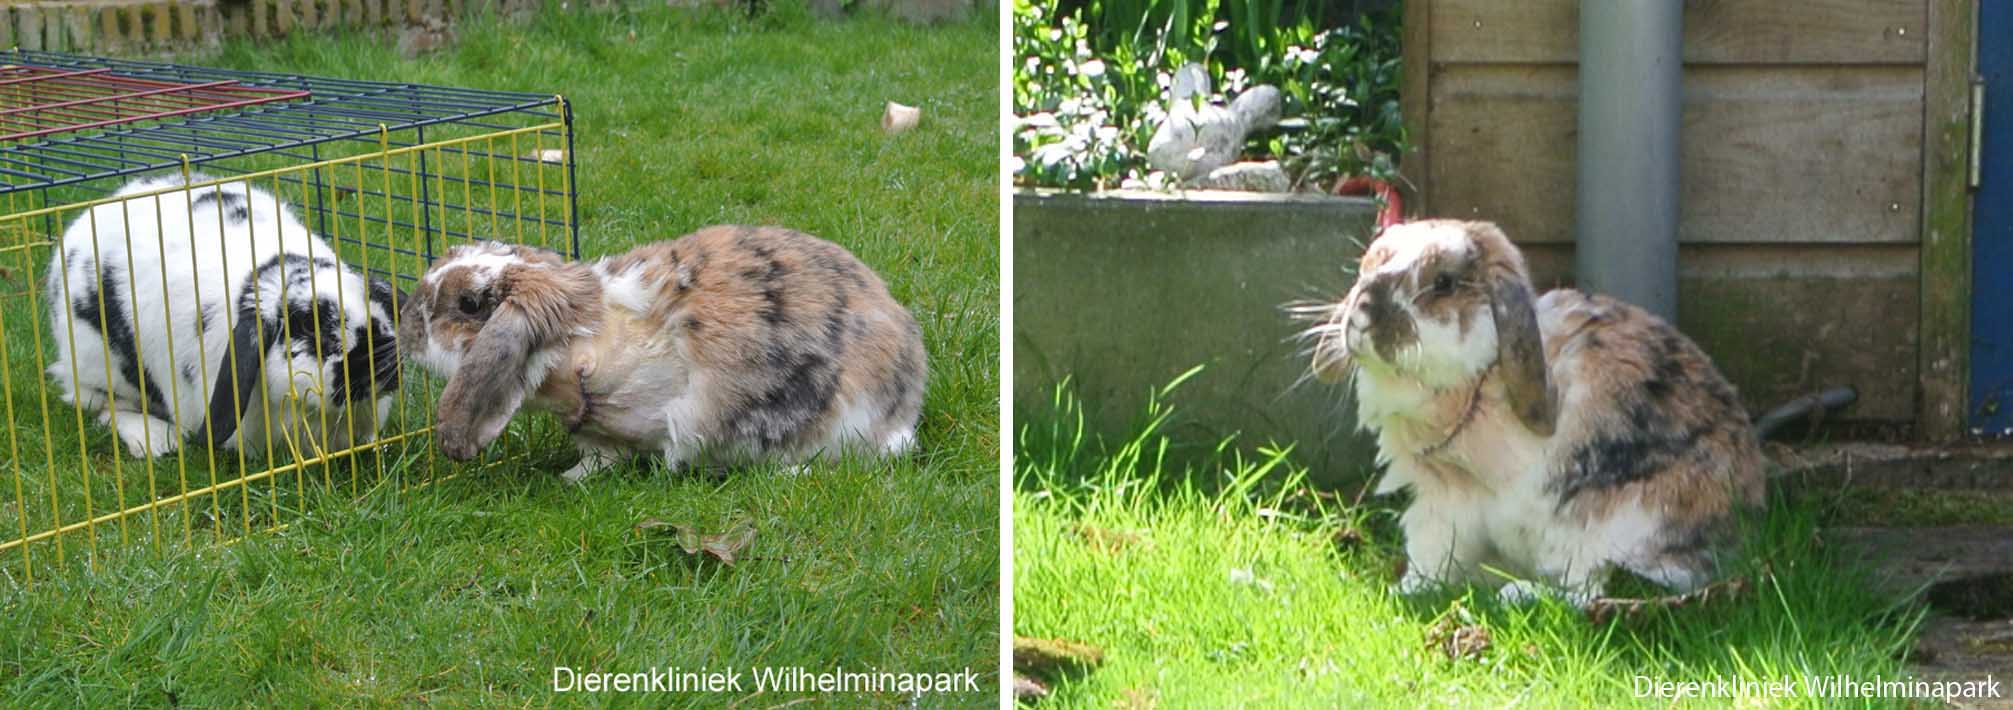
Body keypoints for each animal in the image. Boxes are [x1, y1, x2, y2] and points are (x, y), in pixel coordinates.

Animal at [47, 173, 400, 456]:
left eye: (375, 304)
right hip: (97, 366)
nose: (383, 353)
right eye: (307, 324)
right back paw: (156, 441)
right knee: (100, 405)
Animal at [1304, 220, 1763, 603]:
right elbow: (1430, 556)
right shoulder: (1440, 505)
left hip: (1620, 526)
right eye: (1369, 264)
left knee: (1586, 592)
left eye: (1444, 283)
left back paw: (1517, 594)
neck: (1479, 387)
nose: (1363, 311)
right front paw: (1407, 590)